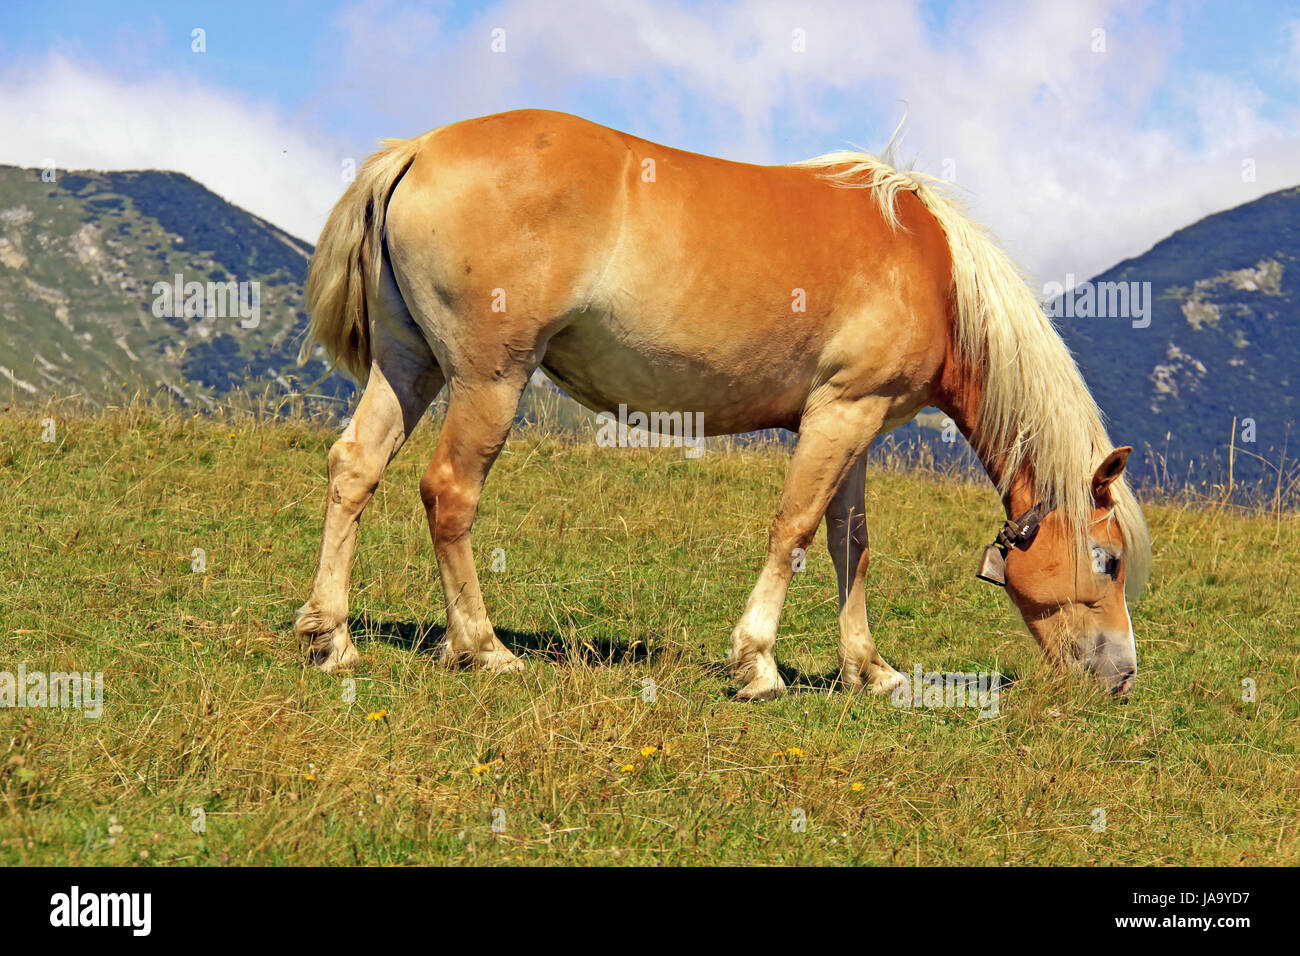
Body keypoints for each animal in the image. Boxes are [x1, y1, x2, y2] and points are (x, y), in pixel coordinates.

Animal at [293, 109, 1151, 700]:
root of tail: (418, 149)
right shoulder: (840, 414)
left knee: (355, 470)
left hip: (409, 367)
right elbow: (794, 530)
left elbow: (850, 544)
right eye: (1106, 560)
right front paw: (758, 663)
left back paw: (332, 637)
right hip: (488, 378)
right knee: (450, 494)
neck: (931, 271)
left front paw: (870, 669)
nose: (1122, 675)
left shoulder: (859, 425)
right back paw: (483, 646)